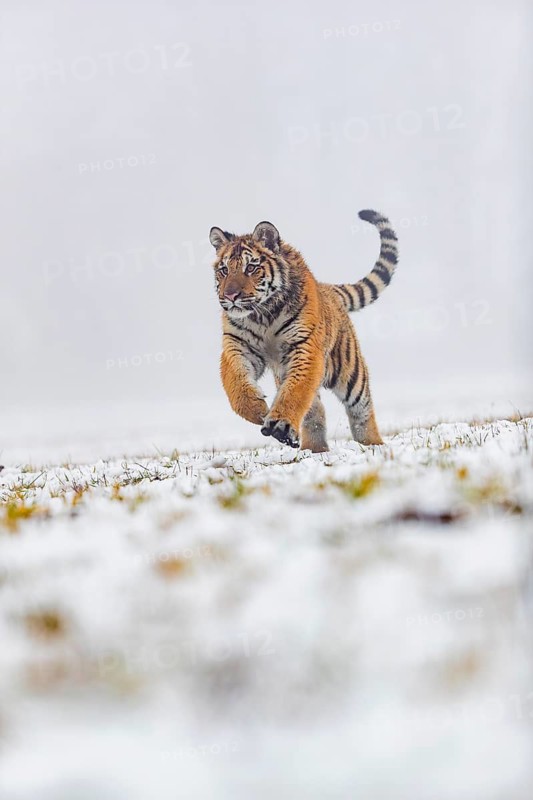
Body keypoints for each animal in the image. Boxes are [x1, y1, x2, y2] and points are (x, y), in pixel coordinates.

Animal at [209, 209, 399, 452]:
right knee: (316, 410)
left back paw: (372, 444)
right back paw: (312, 447)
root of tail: (328, 289)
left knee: (362, 410)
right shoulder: (238, 345)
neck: (263, 314)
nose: (230, 296)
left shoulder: (305, 347)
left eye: (250, 268)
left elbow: (295, 391)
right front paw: (258, 410)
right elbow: (236, 384)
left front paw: (279, 422)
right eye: (224, 270)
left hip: (350, 374)